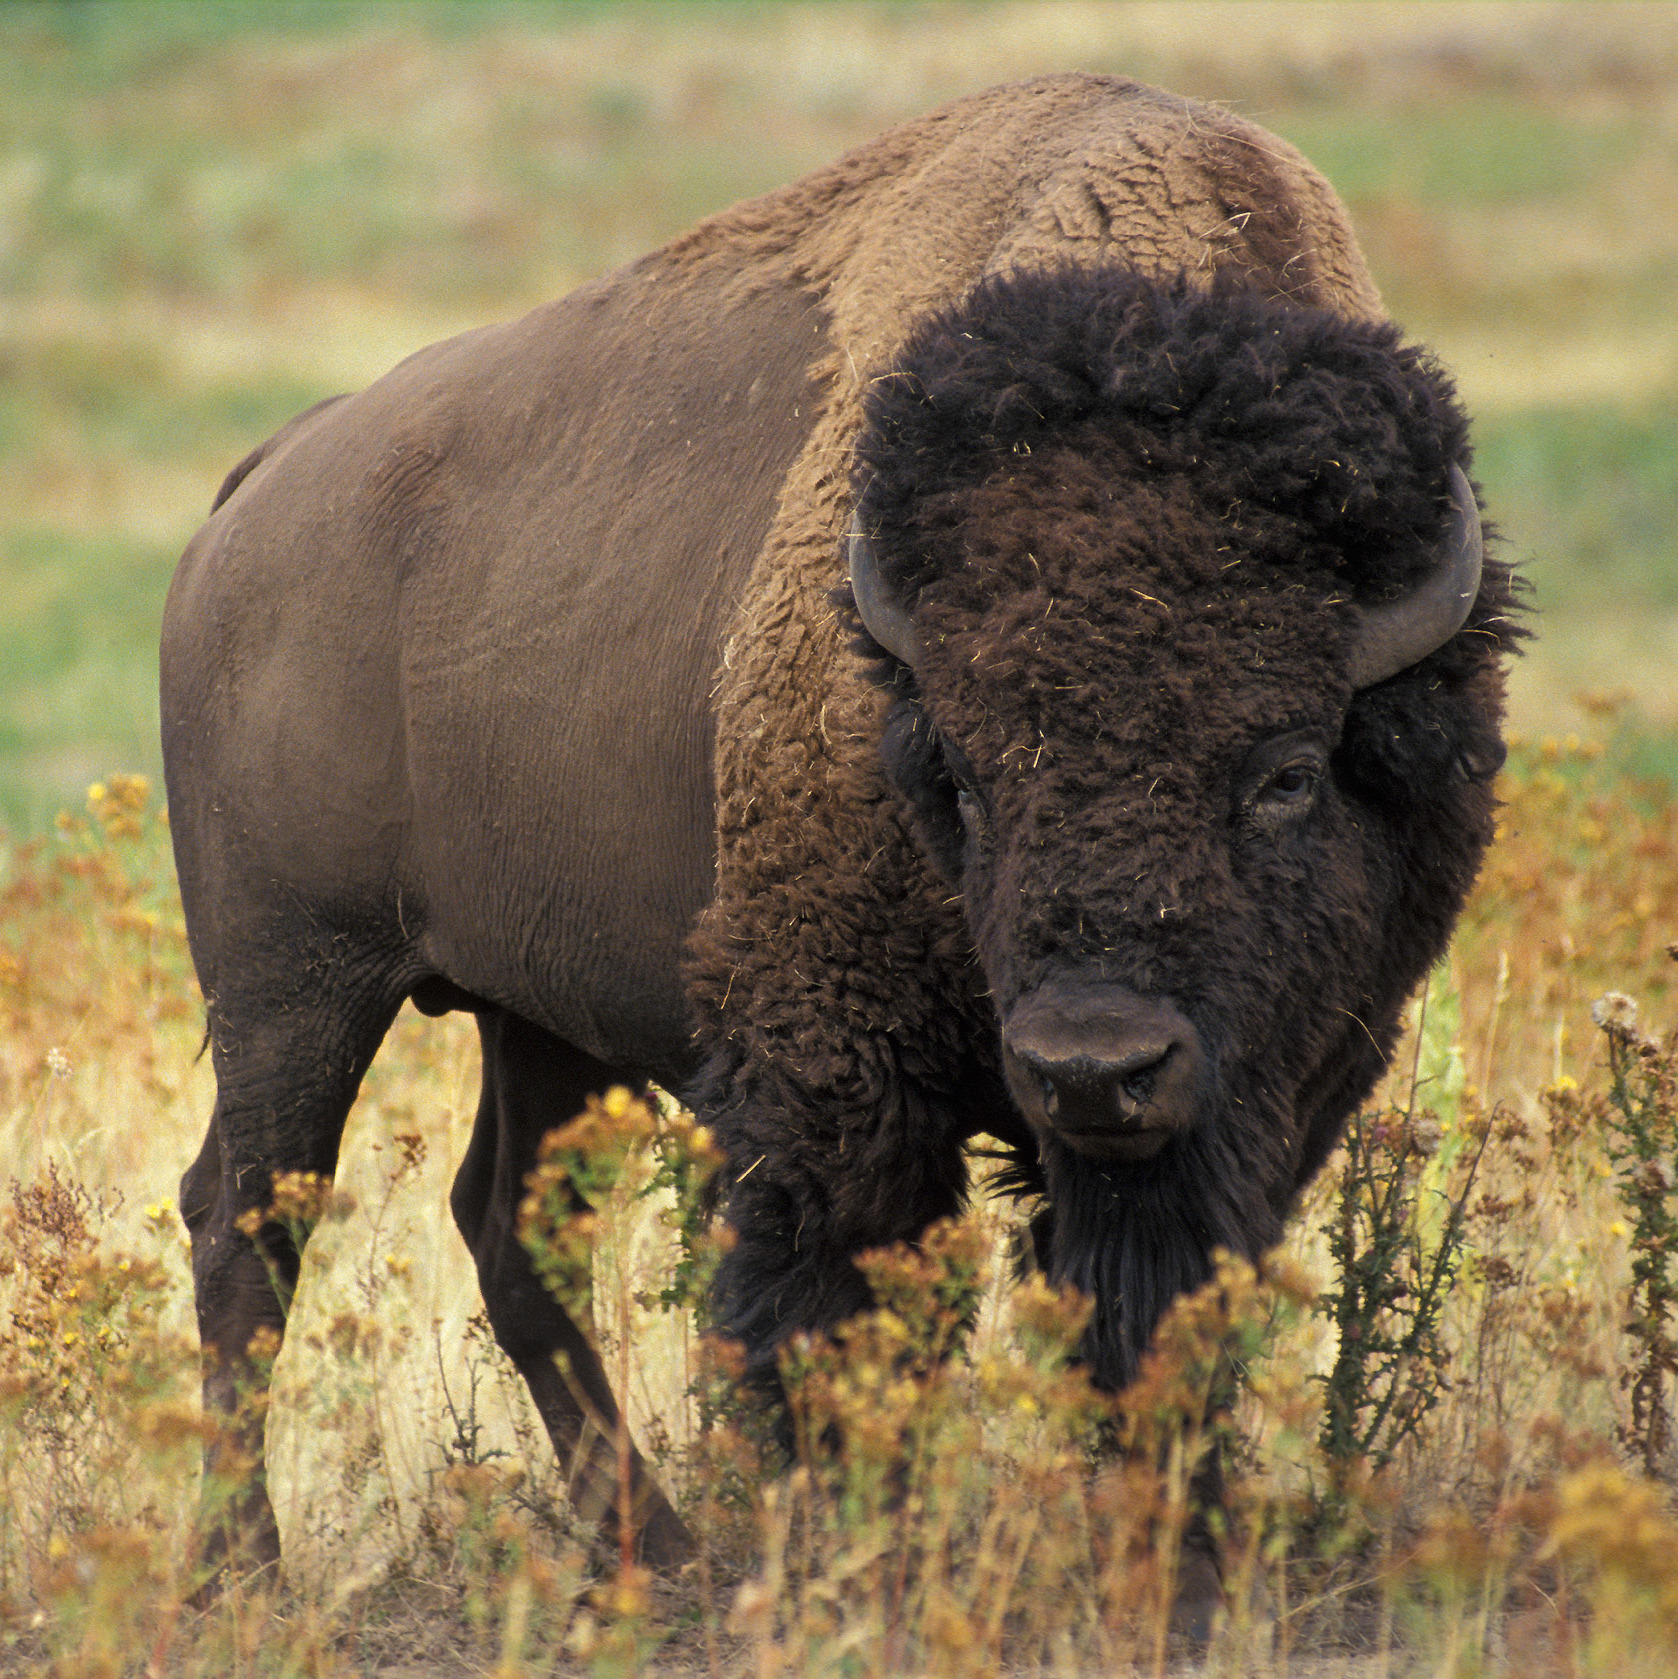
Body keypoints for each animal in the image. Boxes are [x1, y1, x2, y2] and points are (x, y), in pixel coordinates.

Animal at [163, 75, 1518, 1571]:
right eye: (962, 775)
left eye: (1285, 769)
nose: (1092, 1066)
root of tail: (263, 484)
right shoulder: (835, 1071)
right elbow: (837, 1319)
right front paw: (861, 1552)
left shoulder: (1273, 1089)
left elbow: (1158, 1317)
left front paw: (1177, 1551)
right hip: (292, 982)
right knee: (247, 1221)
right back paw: (244, 1567)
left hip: (531, 1006)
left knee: (505, 1222)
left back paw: (653, 1550)